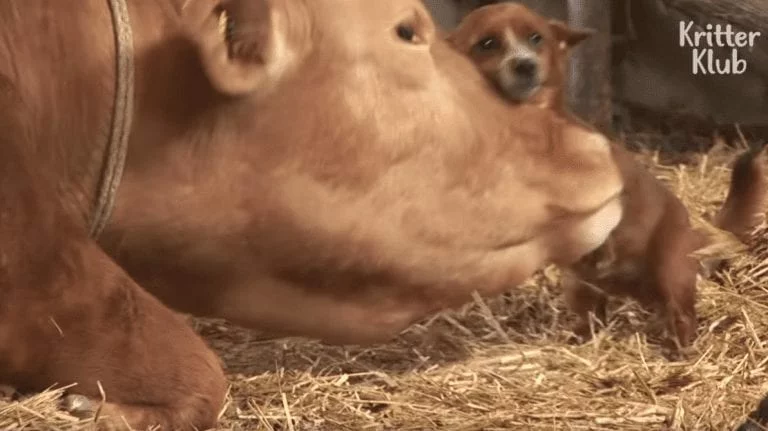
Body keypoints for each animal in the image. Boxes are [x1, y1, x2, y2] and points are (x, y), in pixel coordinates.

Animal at [448, 3, 767, 348]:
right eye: (487, 43)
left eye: (536, 38)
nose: (525, 65)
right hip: (579, 287)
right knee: (594, 316)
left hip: (671, 270)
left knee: (682, 315)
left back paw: (678, 345)